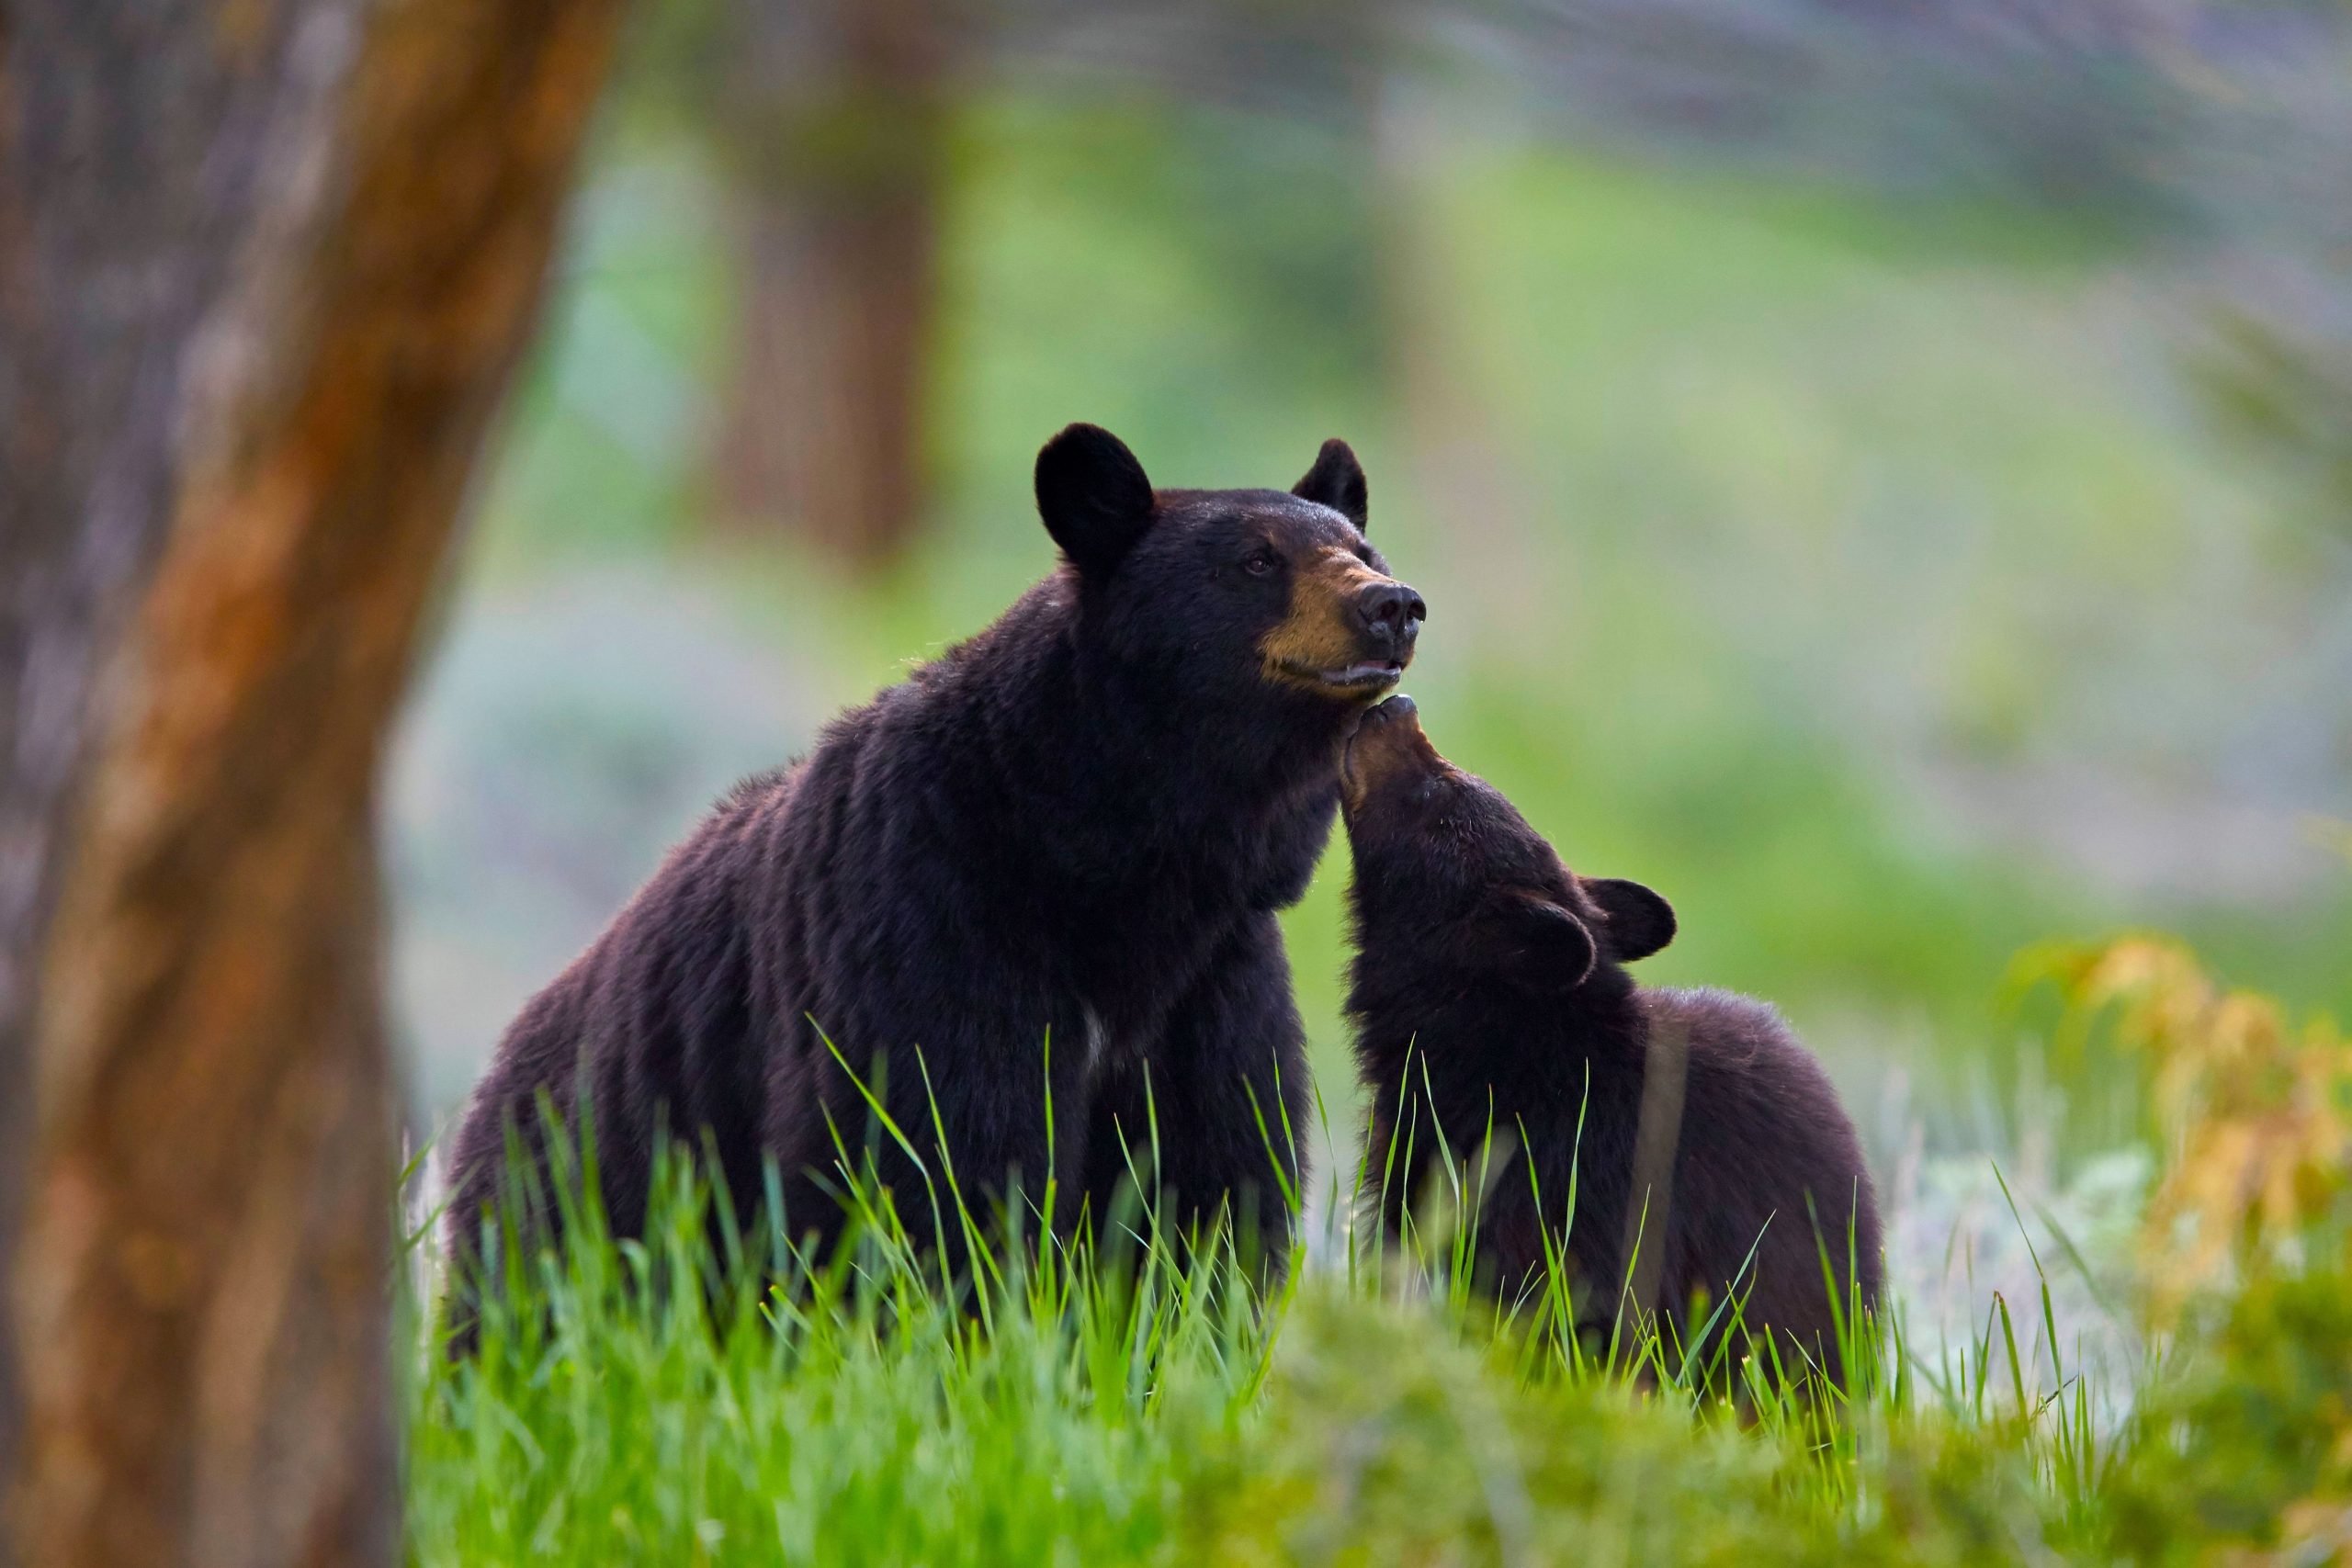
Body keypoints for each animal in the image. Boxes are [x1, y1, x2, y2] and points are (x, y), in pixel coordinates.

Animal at [445, 424, 1427, 1304]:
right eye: (1257, 560)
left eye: (1360, 548)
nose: (1394, 605)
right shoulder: (926, 914)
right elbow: (936, 1150)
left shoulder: (1216, 976)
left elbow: (1207, 1176)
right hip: (578, 1187)